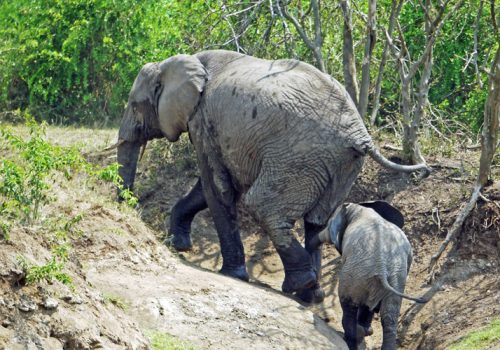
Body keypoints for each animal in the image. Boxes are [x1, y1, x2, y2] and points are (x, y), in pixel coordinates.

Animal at [114, 50, 430, 304]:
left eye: (134, 105)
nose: (129, 205)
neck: (182, 62)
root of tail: (360, 135)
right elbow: (210, 187)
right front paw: (178, 244)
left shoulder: (203, 120)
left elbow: (218, 188)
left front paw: (231, 273)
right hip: (340, 165)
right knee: (317, 220)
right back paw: (311, 294)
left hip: (298, 156)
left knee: (264, 207)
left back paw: (301, 285)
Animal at [310, 200, 428, 350]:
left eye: (329, 224)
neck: (359, 208)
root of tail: (382, 267)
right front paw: (368, 331)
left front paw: (364, 331)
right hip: (393, 277)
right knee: (389, 316)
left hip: (357, 272)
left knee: (348, 303)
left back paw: (354, 336)